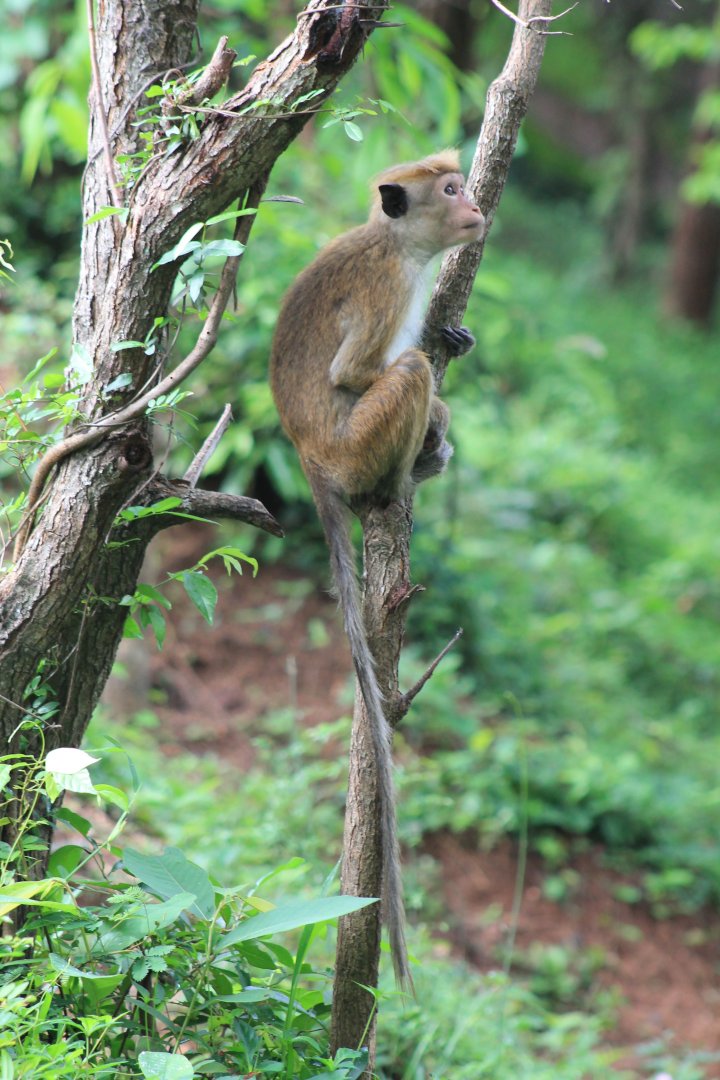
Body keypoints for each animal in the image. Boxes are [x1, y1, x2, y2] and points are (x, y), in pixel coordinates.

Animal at [269, 151, 484, 987]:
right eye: (449, 189)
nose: (475, 205)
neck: (401, 246)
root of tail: (307, 455)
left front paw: (456, 332)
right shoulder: (388, 288)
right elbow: (355, 374)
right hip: (355, 446)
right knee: (408, 373)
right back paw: (398, 481)